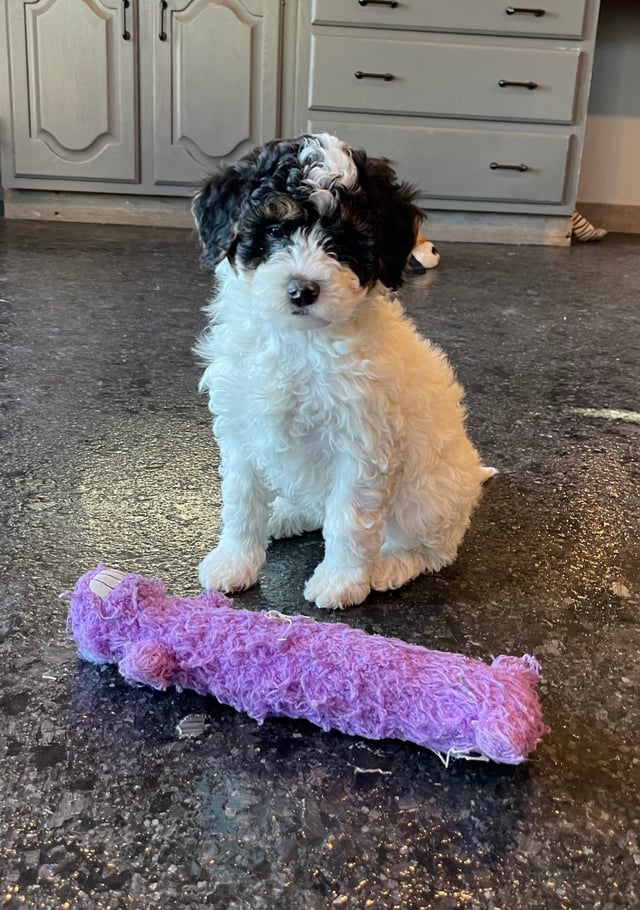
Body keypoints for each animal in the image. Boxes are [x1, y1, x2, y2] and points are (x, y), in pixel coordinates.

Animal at [192, 132, 492, 608]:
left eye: (344, 241)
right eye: (274, 230)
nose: (302, 290)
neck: (300, 340)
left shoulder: (361, 446)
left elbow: (348, 520)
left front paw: (341, 582)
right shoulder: (240, 428)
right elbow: (241, 501)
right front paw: (233, 561)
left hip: (427, 497)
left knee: (433, 550)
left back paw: (391, 565)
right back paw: (285, 514)